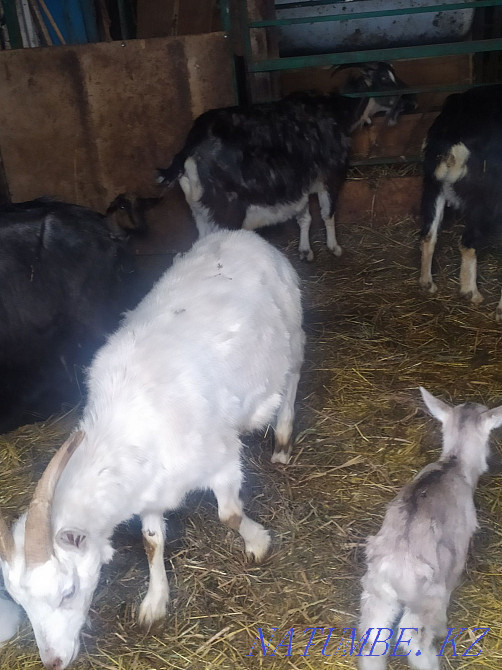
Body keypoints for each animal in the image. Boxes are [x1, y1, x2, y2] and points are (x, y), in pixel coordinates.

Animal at [0, 229, 305, 669]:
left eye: (68, 591)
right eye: (20, 602)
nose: (53, 661)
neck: (125, 426)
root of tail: (238, 234)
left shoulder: (222, 460)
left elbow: (229, 515)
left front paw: (258, 542)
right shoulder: (148, 492)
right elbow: (150, 541)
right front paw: (154, 603)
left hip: (294, 330)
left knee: (294, 375)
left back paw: (282, 439)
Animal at [156, 62, 412, 261]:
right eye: (385, 80)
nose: (410, 101)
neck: (336, 113)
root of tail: (190, 148)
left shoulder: (300, 184)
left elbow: (304, 216)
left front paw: (305, 251)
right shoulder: (332, 174)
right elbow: (328, 213)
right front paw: (334, 248)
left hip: (200, 213)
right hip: (227, 213)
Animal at [358, 387, 501, 670]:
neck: (453, 464)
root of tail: (393, 567)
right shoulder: (457, 556)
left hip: (375, 594)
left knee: (372, 642)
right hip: (425, 598)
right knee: (414, 641)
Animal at [419, 85, 502, 320]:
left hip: (432, 183)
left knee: (428, 235)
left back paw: (427, 284)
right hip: (488, 199)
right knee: (467, 243)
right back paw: (471, 293)